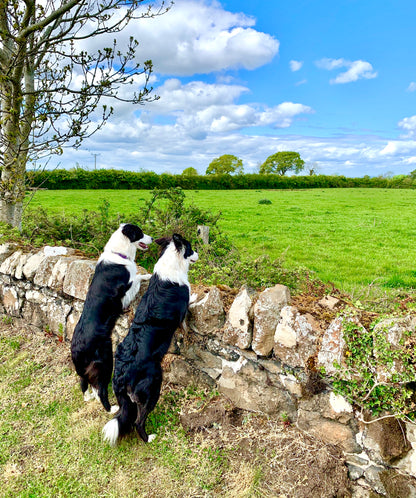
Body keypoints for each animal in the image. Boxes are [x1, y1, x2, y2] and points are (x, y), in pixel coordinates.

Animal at [70, 223, 154, 412]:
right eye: (140, 233)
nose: (152, 238)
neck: (119, 253)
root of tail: (76, 350)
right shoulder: (125, 291)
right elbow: (138, 276)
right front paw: (149, 275)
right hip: (105, 361)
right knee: (101, 390)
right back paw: (112, 409)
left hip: (87, 370)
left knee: (86, 385)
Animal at [102, 234, 197, 448]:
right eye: (190, 248)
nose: (197, 253)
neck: (171, 262)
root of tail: (122, 374)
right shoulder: (183, 311)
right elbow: (189, 305)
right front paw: (196, 295)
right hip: (153, 387)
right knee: (138, 420)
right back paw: (149, 438)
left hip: (126, 397)